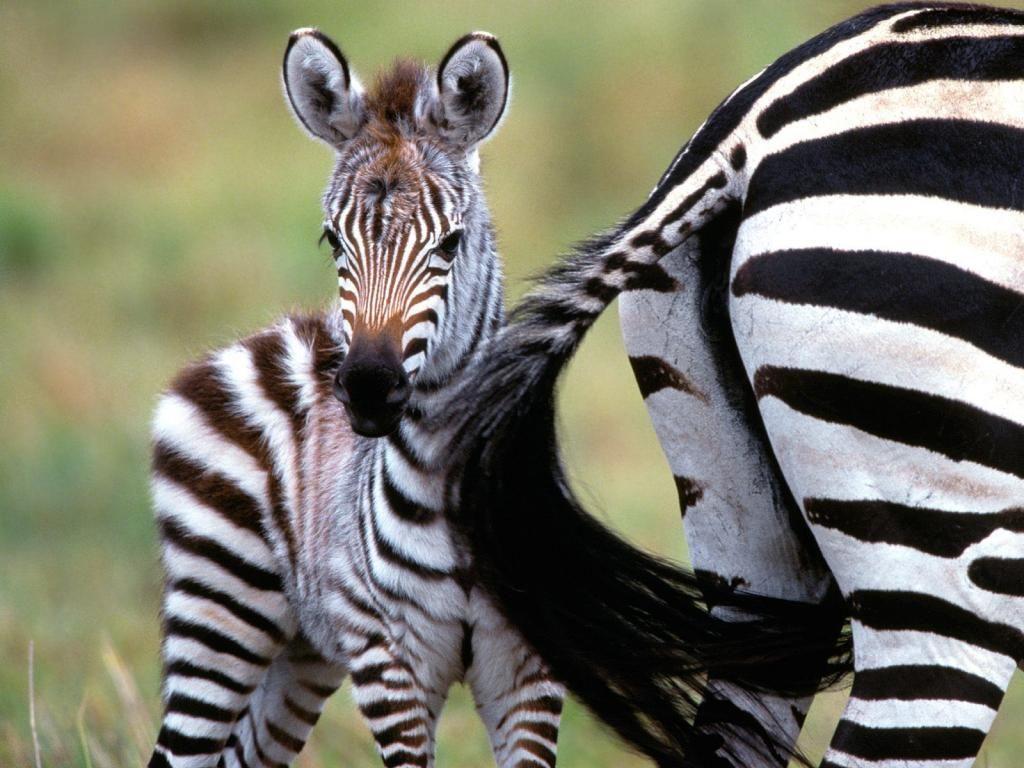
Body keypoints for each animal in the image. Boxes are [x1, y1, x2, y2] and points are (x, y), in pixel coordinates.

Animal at [146, 30, 570, 768]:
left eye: (451, 243)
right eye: (332, 239)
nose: (369, 385)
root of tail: (269, 336)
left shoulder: (529, 672)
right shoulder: (388, 663)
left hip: (303, 647)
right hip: (222, 602)